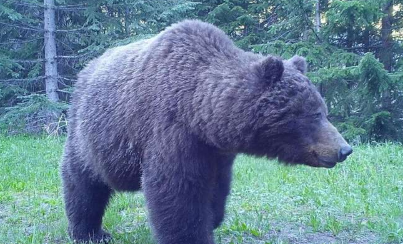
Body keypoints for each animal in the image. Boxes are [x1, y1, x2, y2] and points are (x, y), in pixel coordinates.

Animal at [60, 19, 354, 244]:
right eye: (314, 114)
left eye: (324, 110)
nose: (344, 149)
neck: (200, 113)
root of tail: (85, 70)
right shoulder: (169, 129)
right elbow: (177, 193)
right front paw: (190, 233)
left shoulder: (216, 152)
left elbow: (217, 188)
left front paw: (213, 217)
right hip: (92, 133)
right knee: (82, 182)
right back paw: (90, 231)